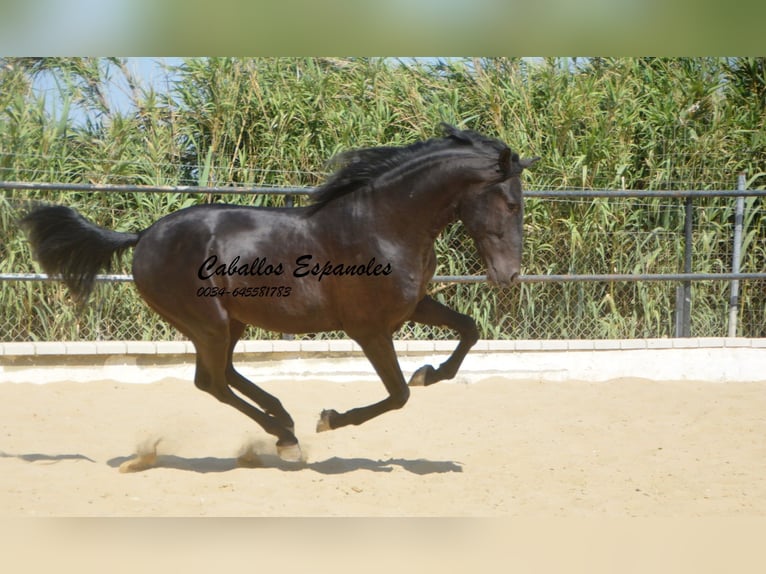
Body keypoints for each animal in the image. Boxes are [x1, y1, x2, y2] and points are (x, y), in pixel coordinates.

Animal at [22, 125, 540, 464]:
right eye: (511, 203)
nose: (509, 276)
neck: (382, 224)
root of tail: (142, 235)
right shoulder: (369, 329)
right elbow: (397, 396)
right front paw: (329, 419)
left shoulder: (412, 306)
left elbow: (468, 332)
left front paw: (430, 372)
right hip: (209, 322)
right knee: (212, 382)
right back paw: (285, 436)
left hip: (229, 322)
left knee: (222, 374)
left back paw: (282, 420)